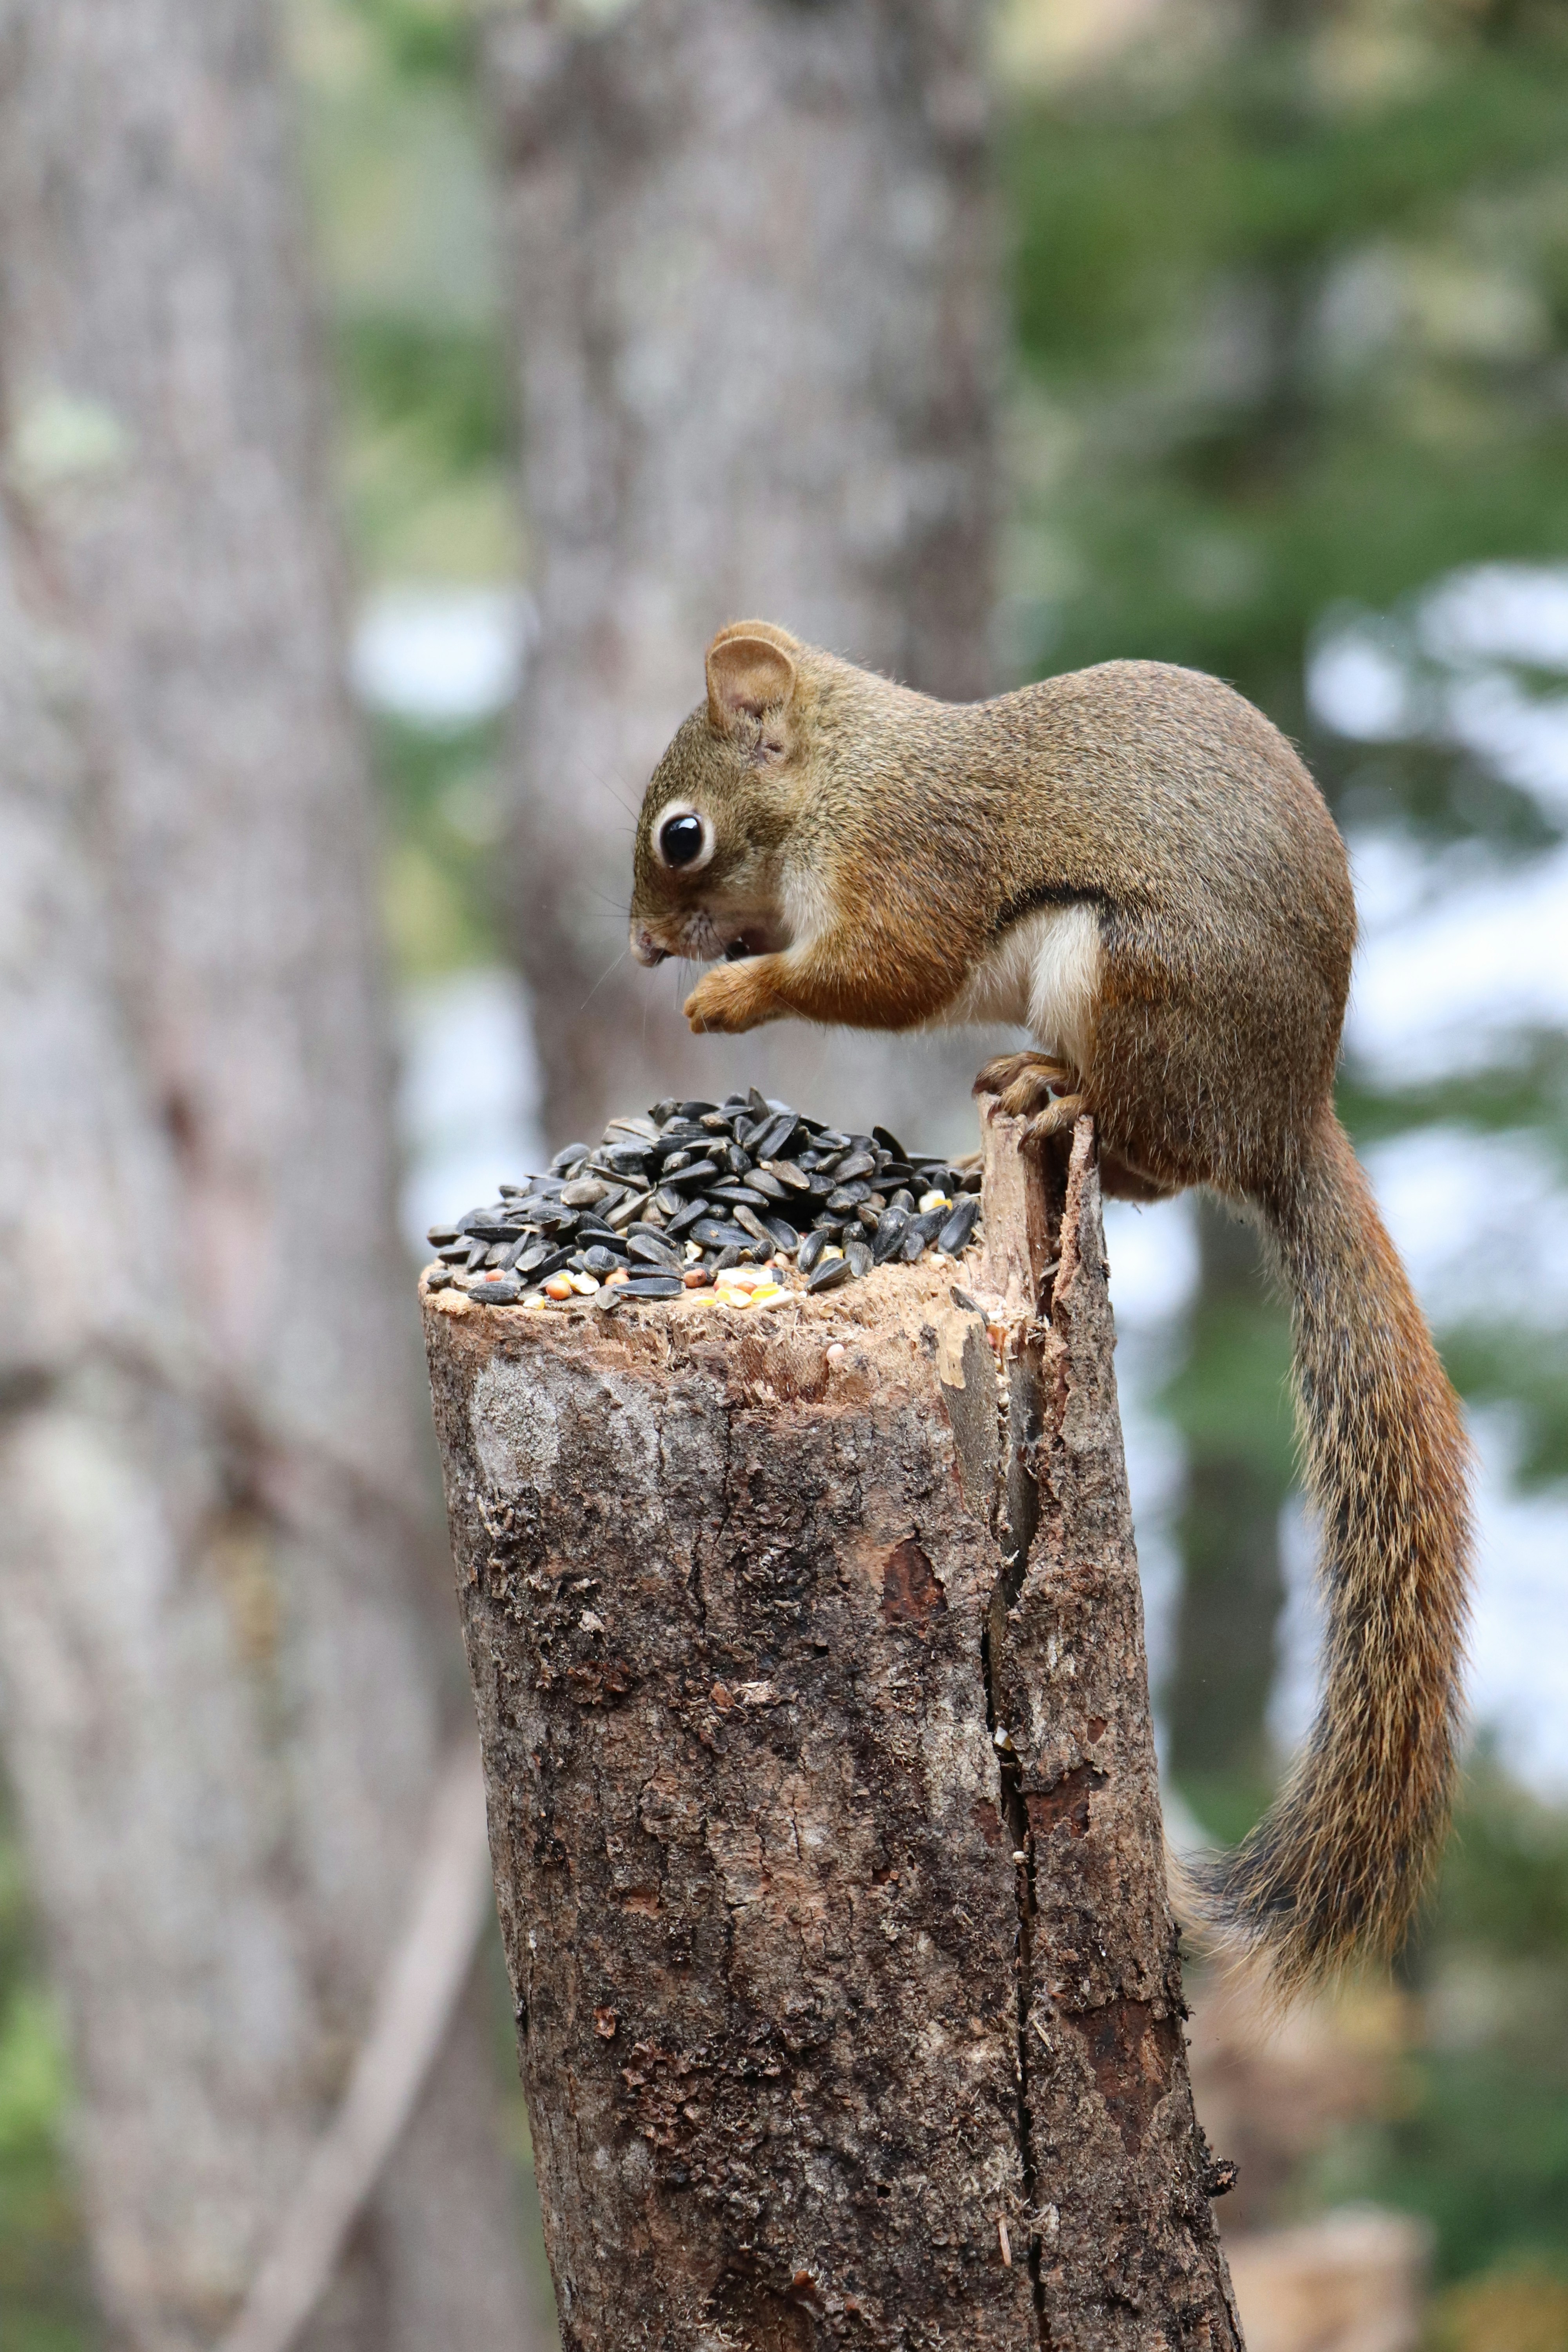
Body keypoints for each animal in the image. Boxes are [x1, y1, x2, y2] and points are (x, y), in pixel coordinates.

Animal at [628, 617, 1472, 1993]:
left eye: (682, 835)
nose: (647, 947)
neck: (846, 779)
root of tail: (1285, 1116)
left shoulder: (914, 862)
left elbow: (886, 971)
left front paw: (733, 995)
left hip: (1127, 981)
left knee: (1149, 1156)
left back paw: (1053, 1095)